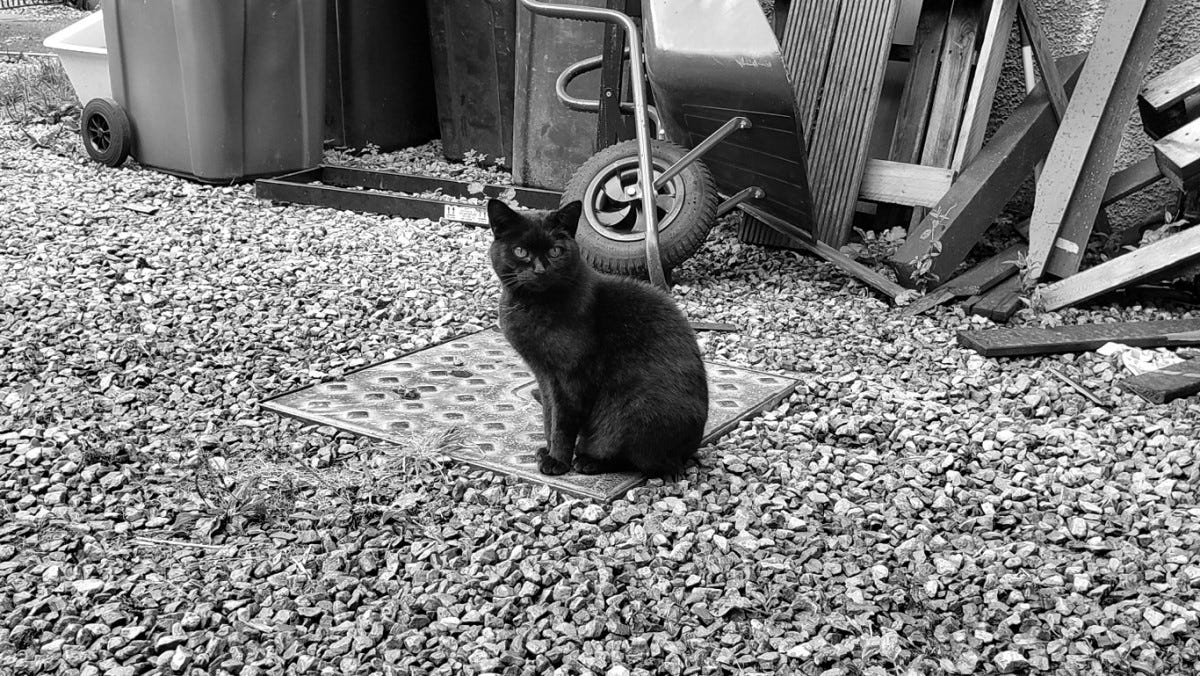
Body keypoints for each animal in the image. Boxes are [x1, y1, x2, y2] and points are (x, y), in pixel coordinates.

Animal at [487, 198, 710, 477]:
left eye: (556, 252)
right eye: (520, 251)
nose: (539, 269)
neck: (531, 306)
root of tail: (692, 447)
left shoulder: (571, 377)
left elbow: (562, 422)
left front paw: (557, 460)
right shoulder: (544, 376)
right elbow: (549, 416)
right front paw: (546, 450)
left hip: (632, 412)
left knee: (646, 461)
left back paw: (588, 461)